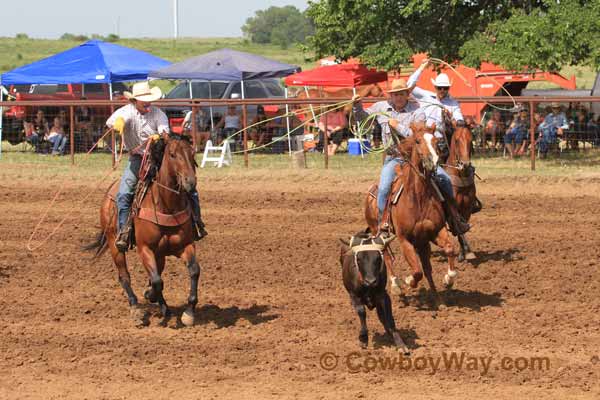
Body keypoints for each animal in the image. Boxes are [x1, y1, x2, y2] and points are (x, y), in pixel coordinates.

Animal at [86, 133, 200, 326]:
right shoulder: (144, 249)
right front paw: (150, 295)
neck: (166, 206)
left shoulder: (185, 246)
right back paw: (137, 310)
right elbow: (156, 281)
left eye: (192, 153)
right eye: (172, 154)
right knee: (125, 276)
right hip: (114, 244)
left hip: (160, 254)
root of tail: (110, 191)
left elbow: (193, 271)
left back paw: (162, 307)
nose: (190, 182)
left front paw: (189, 312)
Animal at [360, 122, 450, 306]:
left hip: (422, 242)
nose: (432, 162)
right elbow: (416, 271)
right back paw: (396, 286)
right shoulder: (404, 239)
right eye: (417, 141)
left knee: (427, 267)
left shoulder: (435, 231)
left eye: (436, 141)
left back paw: (437, 297)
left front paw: (449, 278)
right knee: (387, 257)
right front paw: (409, 281)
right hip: (377, 231)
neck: (418, 197)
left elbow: (449, 250)